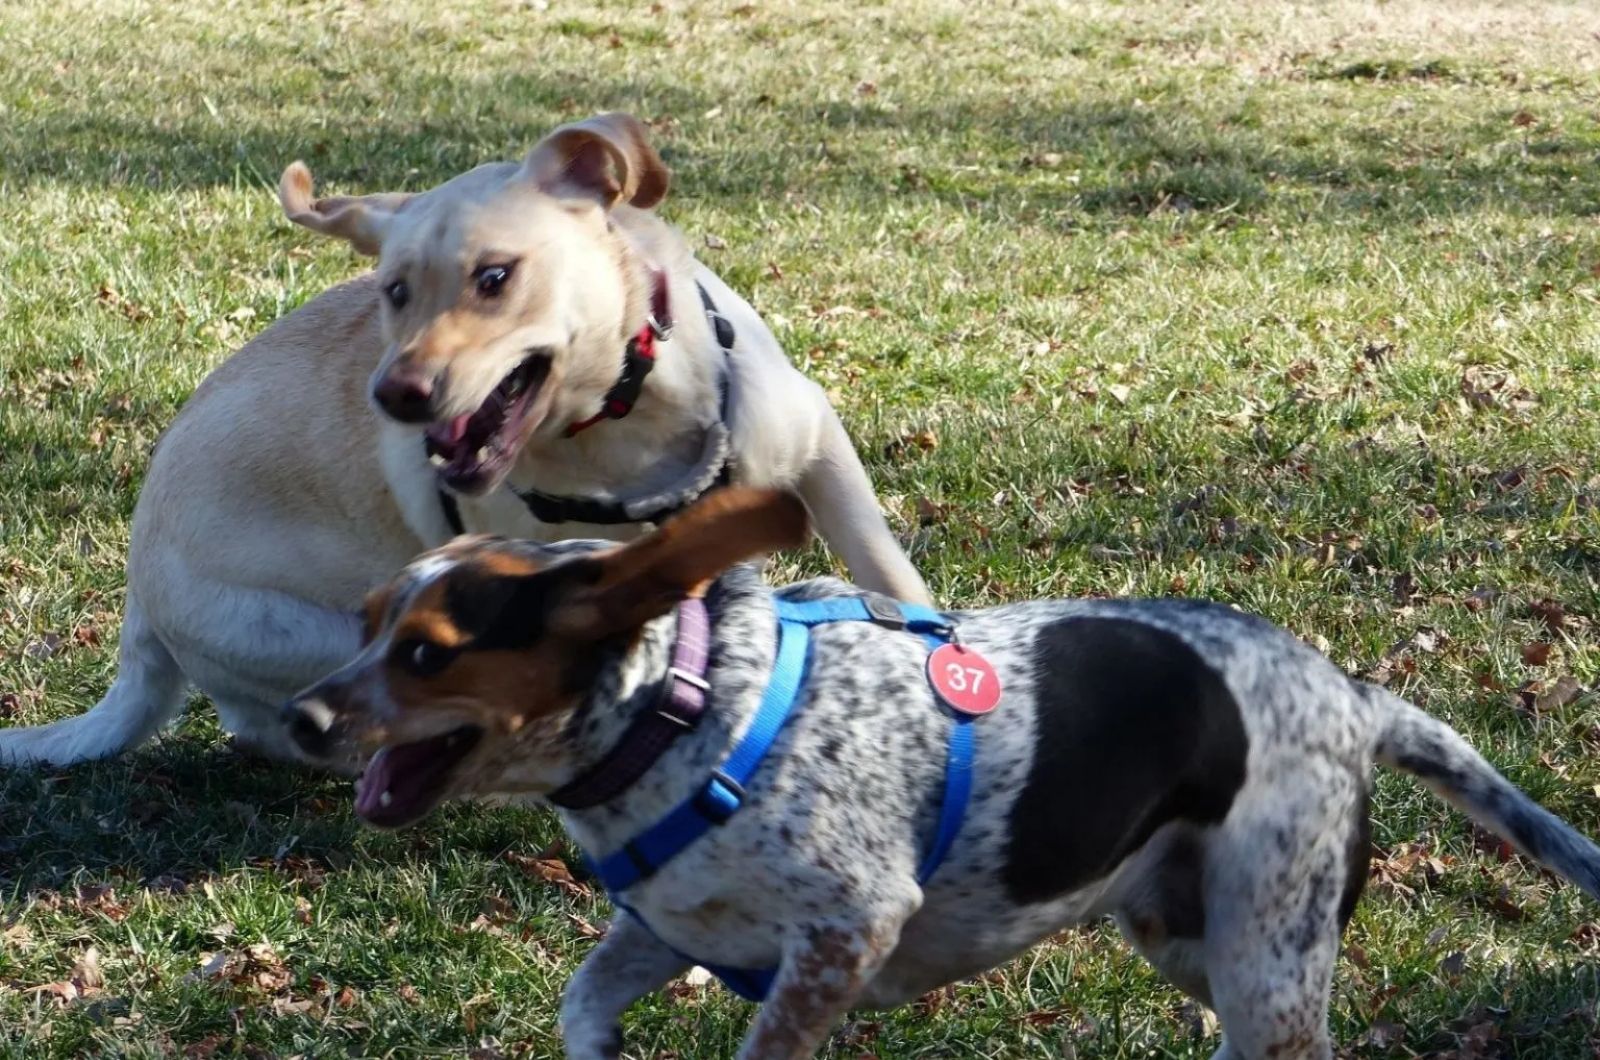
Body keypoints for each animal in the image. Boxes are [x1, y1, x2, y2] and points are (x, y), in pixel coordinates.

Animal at [281, 493, 1600, 1060]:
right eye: (366, 620)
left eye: (426, 652)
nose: (300, 717)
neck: (687, 709)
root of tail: (1351, 696)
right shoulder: (666, 929)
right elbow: (583, 1006)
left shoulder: (842, 933)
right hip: (1193, 939)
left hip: (1264, 957)